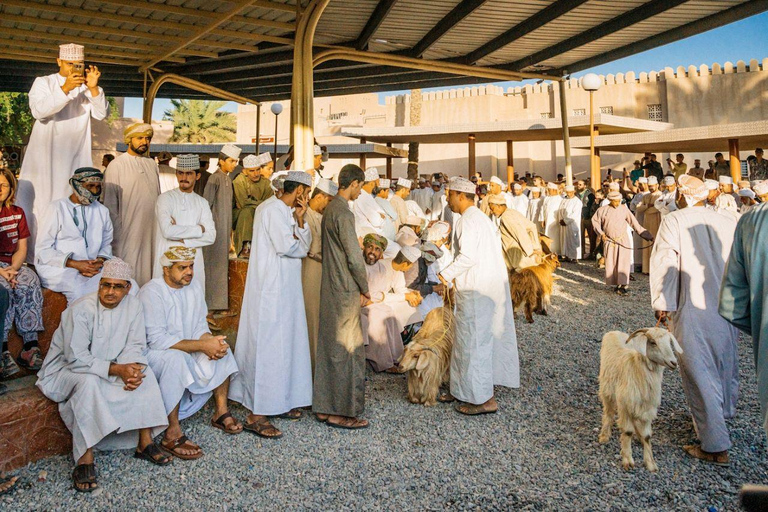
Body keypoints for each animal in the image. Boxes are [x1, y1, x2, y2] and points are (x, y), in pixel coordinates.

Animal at [596, 328, 680, 472]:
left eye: (670, 342)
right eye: (653, 342)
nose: (673, 363)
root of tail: (613, 331)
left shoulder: (647, 408)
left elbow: (647, 436)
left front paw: (651, 464)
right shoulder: (625, 404)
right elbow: (627, 431)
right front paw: (628, 460)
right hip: (607, 388)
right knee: (608, 412)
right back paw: (604, 435)